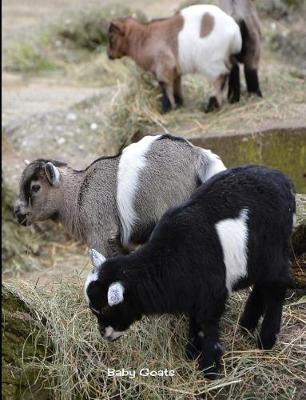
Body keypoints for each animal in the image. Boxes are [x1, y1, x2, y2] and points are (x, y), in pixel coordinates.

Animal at [85, 165, 296, 378]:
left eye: (106, 308)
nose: (103, 334)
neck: (170, 257)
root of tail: (282, 178)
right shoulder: (196, 293)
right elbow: (195, 322)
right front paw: (191, 352)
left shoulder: (213, 295)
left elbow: (208, 326)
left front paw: (210, 369)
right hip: (258, 259)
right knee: (262, 285)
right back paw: (247, 325)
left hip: (274, 250)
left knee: (278, 285)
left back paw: (267, 339)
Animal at [107, 4, 241, 113]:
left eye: (111, 37)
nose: (109, 54)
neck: (142, 38)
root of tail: (234, 31)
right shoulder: (175, 70)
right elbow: (176, 86)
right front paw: (179, 104)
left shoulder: (163, 66)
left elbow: (165, 86)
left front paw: (166, 109)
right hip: (227, 56)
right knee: (234, 68)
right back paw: (234, 98)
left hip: (210, 62)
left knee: (221, 76)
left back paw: (212, 106)